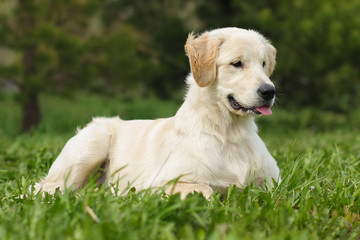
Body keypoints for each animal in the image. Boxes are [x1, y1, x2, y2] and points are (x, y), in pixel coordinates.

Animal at [33, 27, 280, 199]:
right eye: (237, 63)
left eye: (263, 63)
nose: (270, 91)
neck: (230, 134)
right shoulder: (159, 183)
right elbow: (205, 189)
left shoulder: (274, 183)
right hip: (94, 140)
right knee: (46, 189)